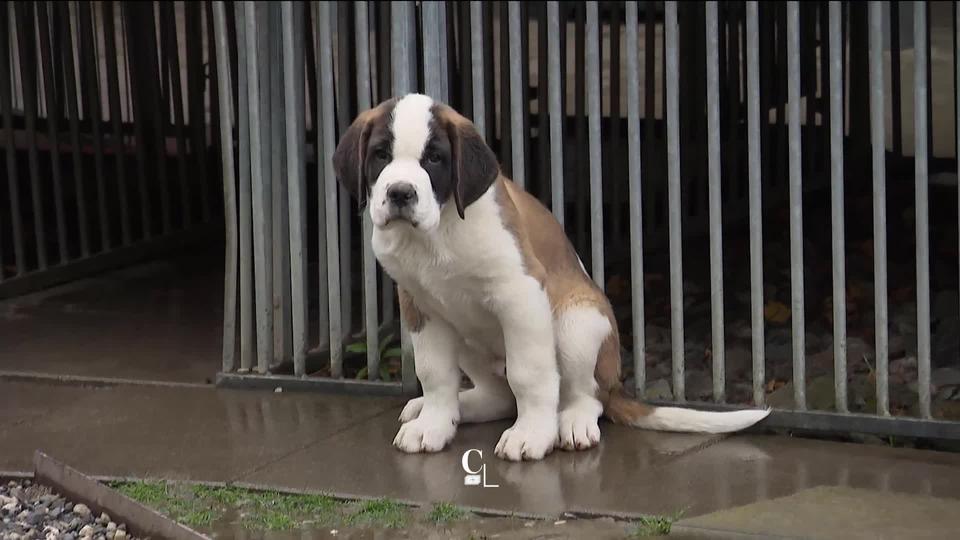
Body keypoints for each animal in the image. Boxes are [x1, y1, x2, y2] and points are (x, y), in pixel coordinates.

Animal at [334, 94, 768, 464]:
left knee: (585, 394)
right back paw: (448, 407)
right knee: (498, 395)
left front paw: (530, 435)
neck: (437, 234)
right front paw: (434, 424)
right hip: (468, 337)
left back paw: (572, 423)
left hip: (576, 322)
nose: (400, 193)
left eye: (435, 159)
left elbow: (530, 374)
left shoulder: (521, 295)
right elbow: (434, 373)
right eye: (380, 155)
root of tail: (616, 383)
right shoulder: (420, 307)